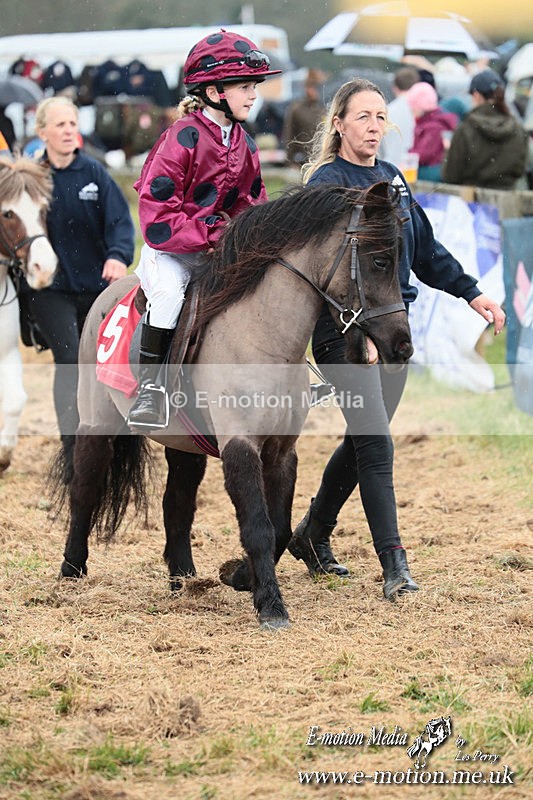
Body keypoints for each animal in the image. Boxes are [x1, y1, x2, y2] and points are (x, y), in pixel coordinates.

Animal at [52, 181, 413, 630]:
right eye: (380, 260)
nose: (402, 345)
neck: (263, 340)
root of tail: (110, 294)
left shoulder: (281, 451)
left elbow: (278, 529)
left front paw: (239, 576)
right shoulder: (240, 445)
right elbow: (258, 526)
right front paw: (271, 606)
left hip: (185, 445)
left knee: (177, 504)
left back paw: (184, 579)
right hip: (96, 425)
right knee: (85, 489)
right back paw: (71, 570)